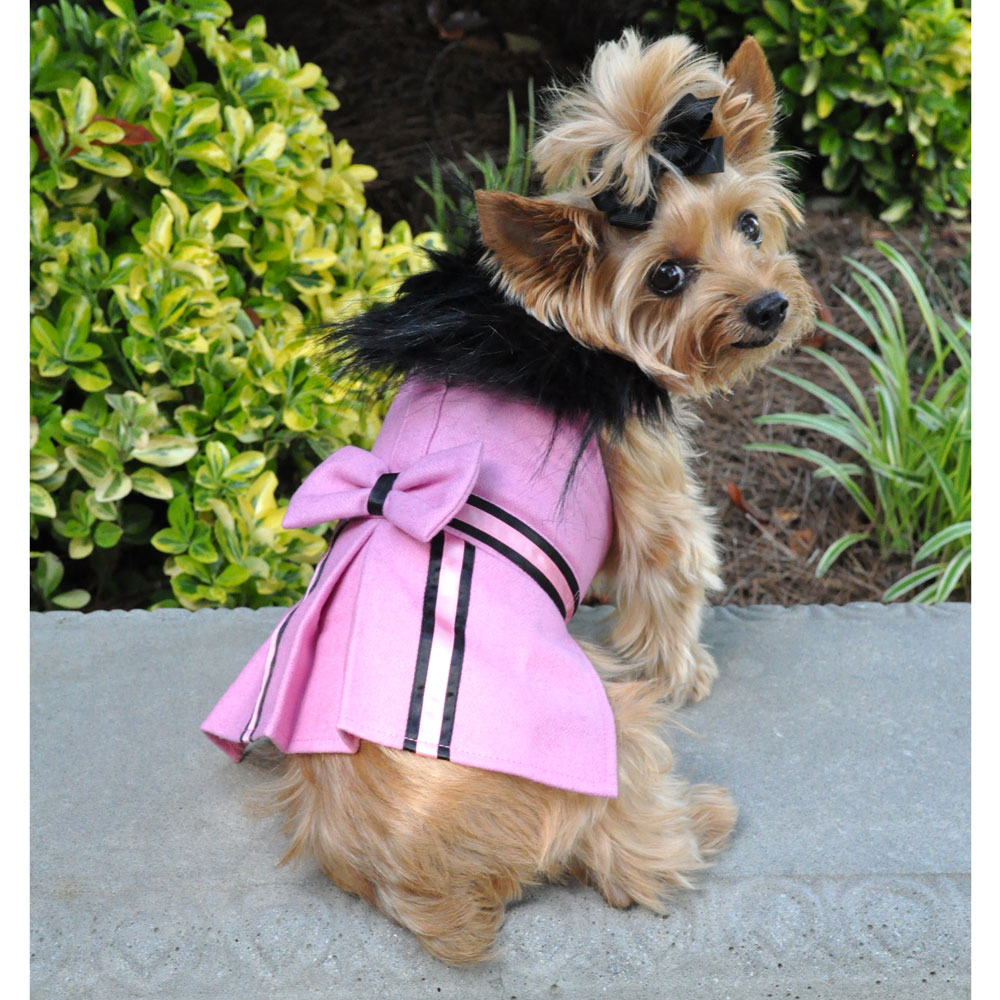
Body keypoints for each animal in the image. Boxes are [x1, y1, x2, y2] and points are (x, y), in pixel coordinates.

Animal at [201, 33, 812, 968]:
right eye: (666, 275)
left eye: (750, 223)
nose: (770, 305)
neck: (556, 339)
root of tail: (418, 878)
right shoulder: (652, 493)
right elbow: (670, 587)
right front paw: (689, 672)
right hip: (605, 728)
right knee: (633, 859)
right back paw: (702, 816)